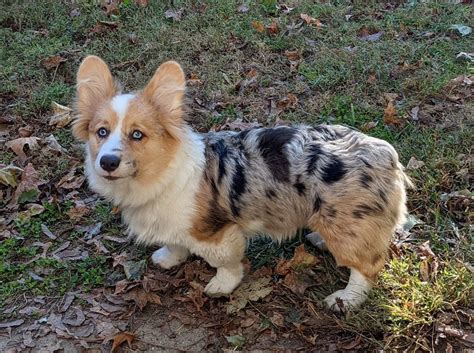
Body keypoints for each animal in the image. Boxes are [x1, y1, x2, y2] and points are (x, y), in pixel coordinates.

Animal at [73, 54, 412, 308]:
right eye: (101, 131)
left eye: (137, 134)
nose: (107, 162)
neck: (159, 173)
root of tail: (385, 154)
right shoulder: (174, 226)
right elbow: (174, 243)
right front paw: (168, 258)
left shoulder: (216, 234)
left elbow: (227, 264)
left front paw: (221, 286)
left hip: (348, 230)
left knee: (366, 267)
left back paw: (346, 299)